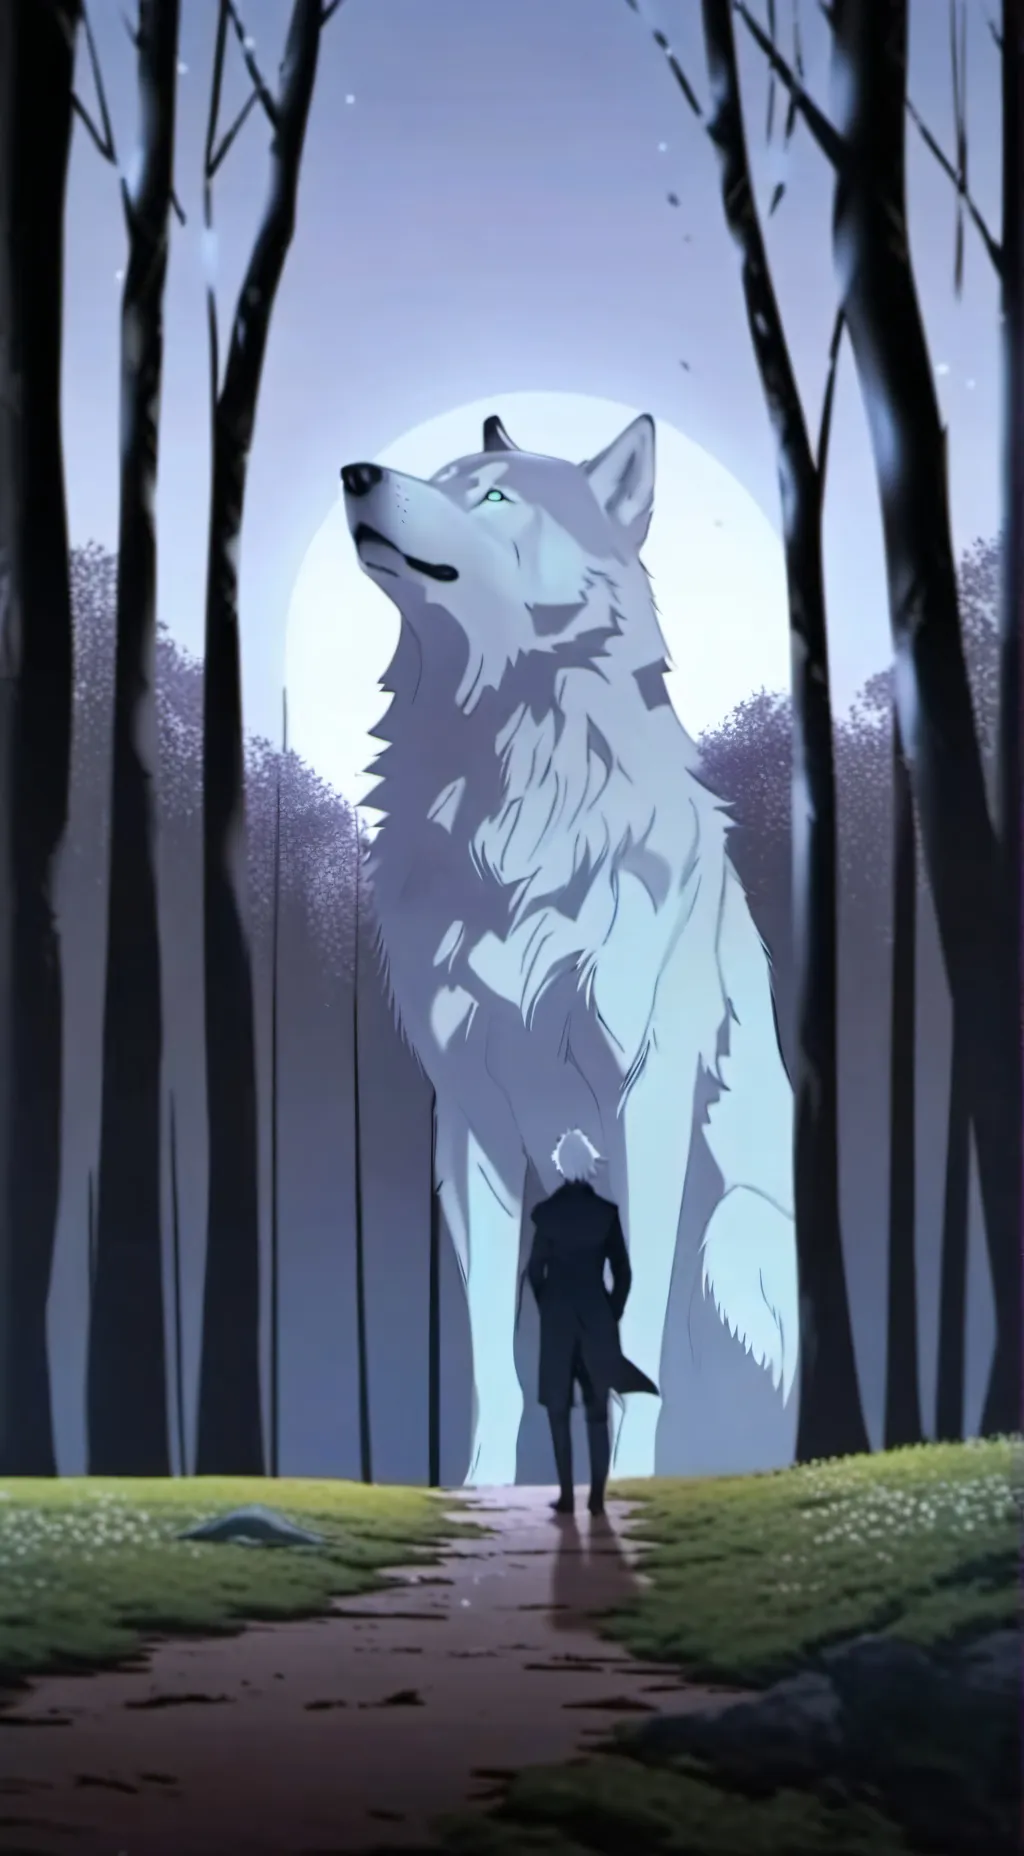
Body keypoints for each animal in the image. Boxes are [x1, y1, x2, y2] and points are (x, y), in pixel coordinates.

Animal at [341, 412, 798, 1484]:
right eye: (446, 474)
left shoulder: (649, 1101)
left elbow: (637, 1339)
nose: (356, 473)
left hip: (734, 1237)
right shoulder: (468, 1122)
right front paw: (478, 1490)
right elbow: (491, 1356)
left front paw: (625, 1486)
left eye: (496, 495)